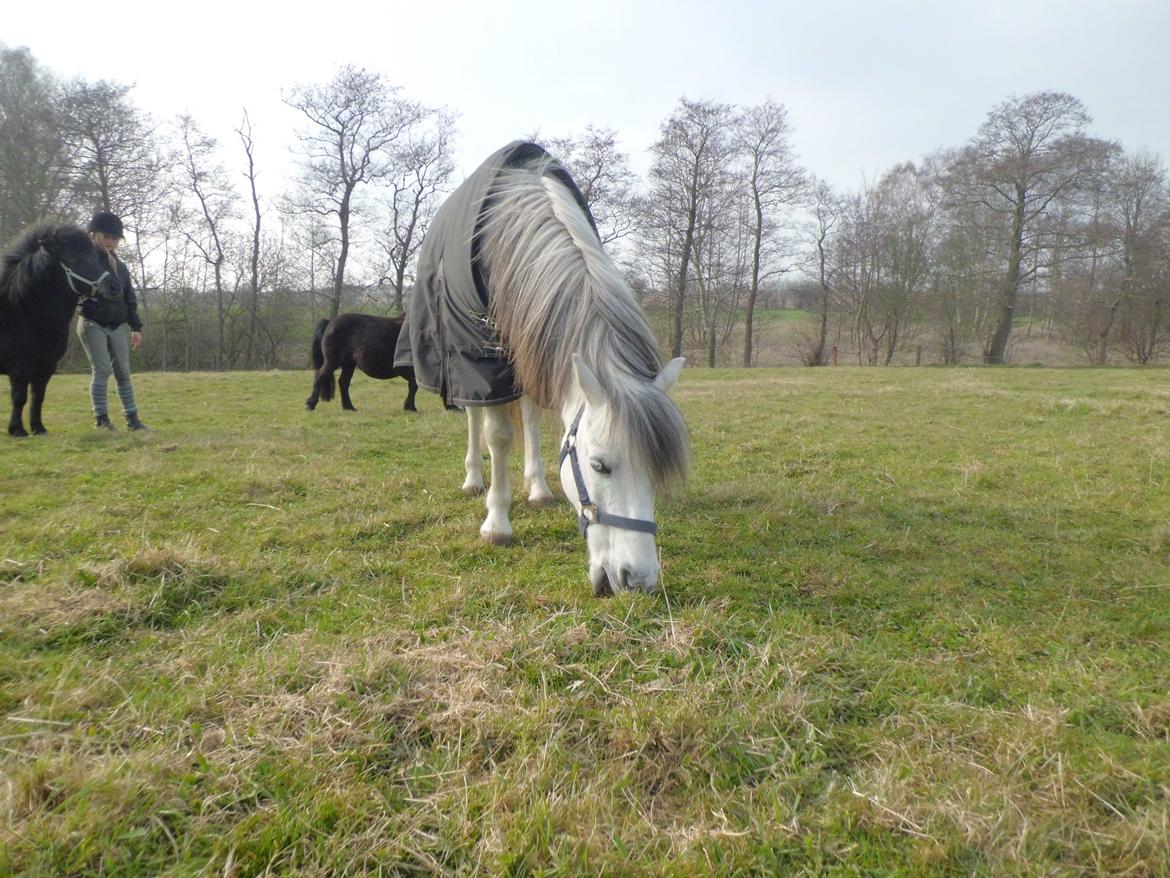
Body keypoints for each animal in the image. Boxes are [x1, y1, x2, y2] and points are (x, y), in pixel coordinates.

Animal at [2, 221, 118, 437]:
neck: (23, 310)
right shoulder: (20, 367)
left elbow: (38, 396)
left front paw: (38, 428)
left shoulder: (46, 366)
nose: (115, 287)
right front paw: (17, 430)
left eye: (93, 257)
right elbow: (19, 397)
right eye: (73, 259)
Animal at [458, 158, 687, 599]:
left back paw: (537, 488)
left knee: (530, 418)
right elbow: (498, 436)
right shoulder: (484, 362)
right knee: (474, 415)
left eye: (657, 469)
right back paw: (474, 478)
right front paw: (496, 524)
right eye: (599, 466)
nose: (640, 581)